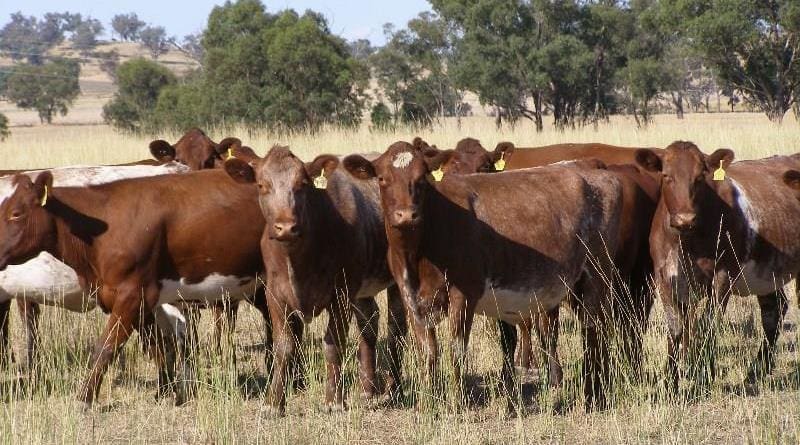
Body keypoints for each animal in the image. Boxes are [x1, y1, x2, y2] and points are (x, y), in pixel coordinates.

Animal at [0, 167, 268, 406]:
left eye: (16, 213)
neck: (101, 230)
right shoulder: (135, 302)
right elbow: (156, 345)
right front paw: (167, 390)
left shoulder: (132, 295)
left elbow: (105, 348)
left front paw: (85, 398)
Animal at [223, 147, 406, 414]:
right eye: (261, 185)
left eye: (302, 184)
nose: (286, 227)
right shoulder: (274, 294)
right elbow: (283, 347)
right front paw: (273, 403)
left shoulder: (341, 293)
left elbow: (333, 344)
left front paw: (333, 400)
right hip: (362, 289)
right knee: (369, 323)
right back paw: (367, 390)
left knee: (396, 328)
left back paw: (395, 389)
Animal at [636, 141, 800, 392]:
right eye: (666, 175)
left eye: (700, 177)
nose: (685, 219)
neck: (686, 242)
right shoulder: (663, 276)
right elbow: (676, 327)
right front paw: (671, 383)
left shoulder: (723, 274)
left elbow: (708, 323)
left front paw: (703, 375)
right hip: (768, 271)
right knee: (774, 310)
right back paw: (757, 370)